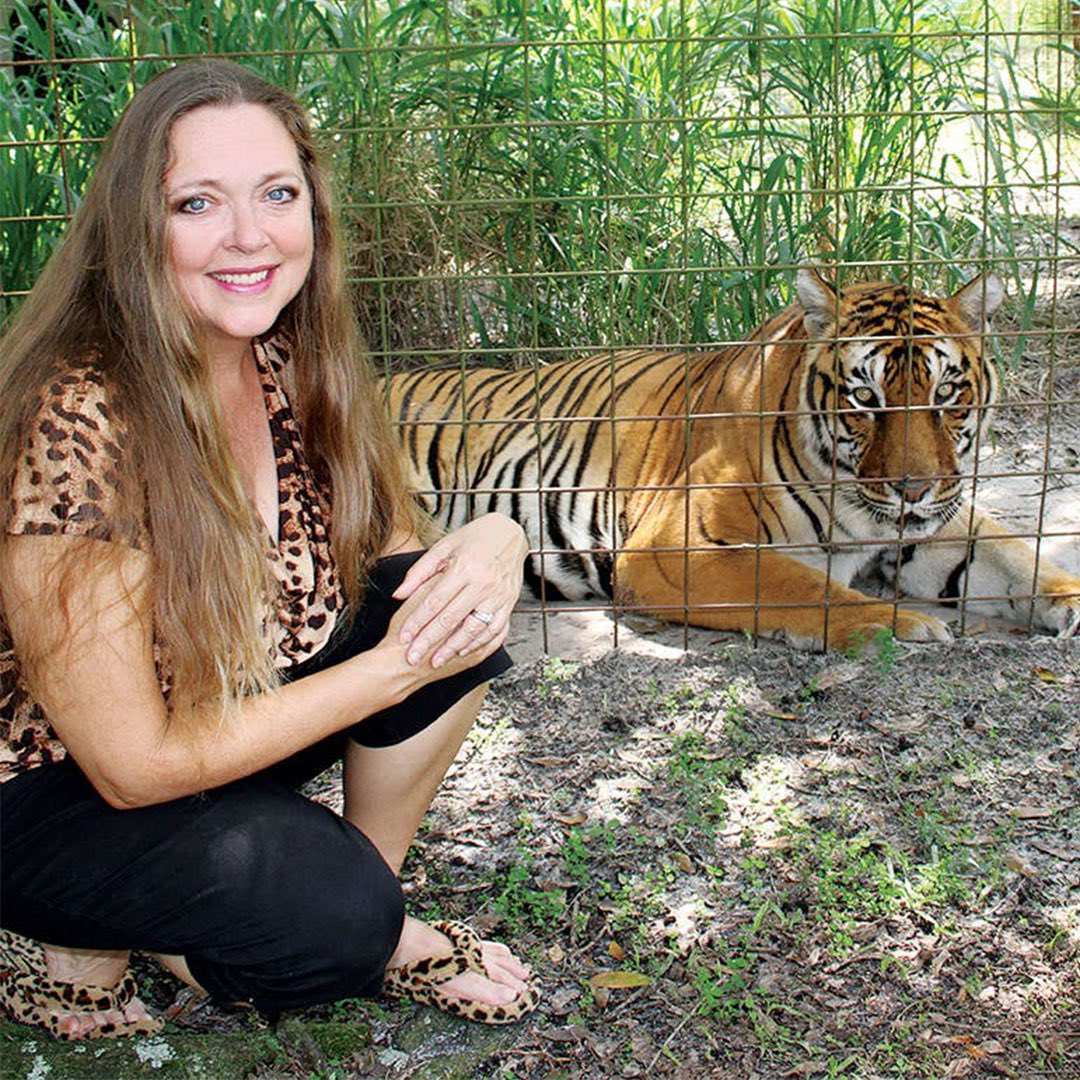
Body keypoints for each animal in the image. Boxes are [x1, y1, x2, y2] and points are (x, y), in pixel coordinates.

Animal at [387, 270, 1080, 650]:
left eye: (946, 395)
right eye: (865, 399)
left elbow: (1012, 556)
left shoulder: (932, 526)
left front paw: (1065, 598)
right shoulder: (674, 546)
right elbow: (797, 584)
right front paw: (899, 624)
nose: (913, 489)